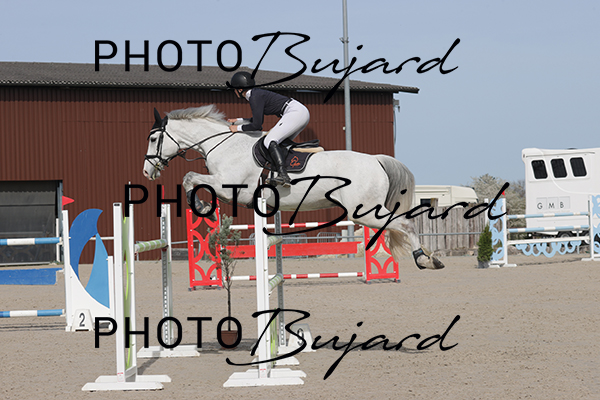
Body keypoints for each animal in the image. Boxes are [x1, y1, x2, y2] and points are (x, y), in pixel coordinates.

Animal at [142, 105, 444, 270]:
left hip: (365, 211)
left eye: (154, 138)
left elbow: (191, 178)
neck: (223, 144)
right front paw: (203, 205)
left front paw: (201, 204)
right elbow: (193, 178)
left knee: (405, 224)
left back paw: (426, 260)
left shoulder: (232, 189)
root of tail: (376, 160)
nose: (147, 171)